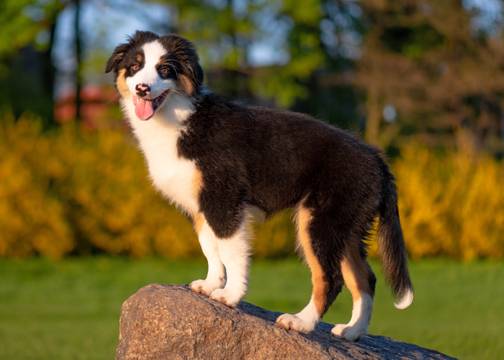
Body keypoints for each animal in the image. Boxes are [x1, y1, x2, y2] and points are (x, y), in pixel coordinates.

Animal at [105, 30, 414, 340]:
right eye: (134, 66)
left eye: (165, 69)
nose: (142, 88)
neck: (183, 118)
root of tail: (375, 157)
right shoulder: (202, 207)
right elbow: (210, 247)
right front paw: (210, 284)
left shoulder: (224, 199)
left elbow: (230, 251)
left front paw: (229, 296)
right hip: (347, 226)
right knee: (365, 277)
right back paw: (352, 331)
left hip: (320, 222)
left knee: (330, 277)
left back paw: (300, 322)